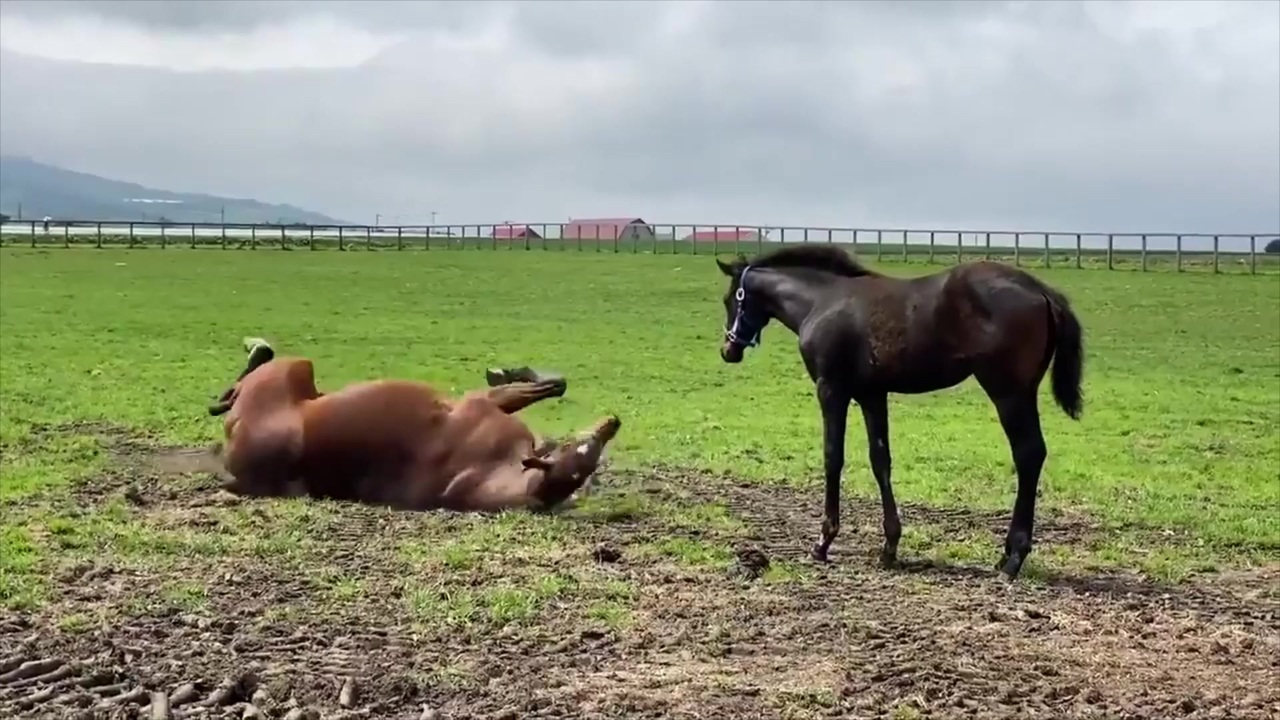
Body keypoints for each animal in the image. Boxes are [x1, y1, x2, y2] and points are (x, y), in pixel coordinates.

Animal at [207, 335, 622, 509]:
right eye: (581, 447)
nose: (613, 422)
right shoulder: (482, 403)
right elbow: (546, 384)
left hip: (293, 370)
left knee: (254, 367)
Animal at [716, 244, 1085, 576]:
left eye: (730, 300)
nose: (728, 351)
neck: (820, 301)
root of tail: (1043, 290)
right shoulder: (872, 394)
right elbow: (881, 459)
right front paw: (889, 547)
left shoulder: (831, 389)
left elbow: (832, 457)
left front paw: (822, 543)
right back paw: (1006, 556)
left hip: (1008, 392)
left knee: (1028, 454)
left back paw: (1012, 559)